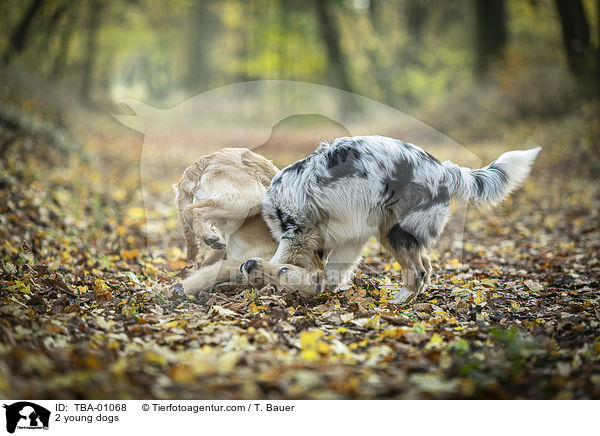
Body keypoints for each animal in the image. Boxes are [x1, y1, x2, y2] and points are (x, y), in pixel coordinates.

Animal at [241, 135, 540, 304]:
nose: (247, 265)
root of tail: (444, 169)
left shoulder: (296, 232)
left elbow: (280, 261)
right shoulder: (350, 238)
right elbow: (331, 271)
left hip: (394, 232)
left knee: (418, 271)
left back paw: (399, 301)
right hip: (395, 231)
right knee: (426, 266)